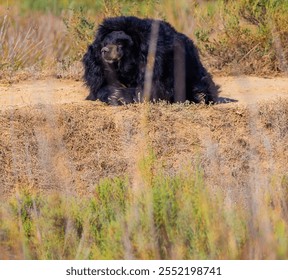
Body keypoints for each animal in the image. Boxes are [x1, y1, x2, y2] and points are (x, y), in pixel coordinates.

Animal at [82, 16, 217, 106]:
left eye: (119, 43)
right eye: (104, 43)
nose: (104, 51)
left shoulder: (155, 58)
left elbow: (151, 89)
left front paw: (118, 95)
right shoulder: (96, 65)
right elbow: (100, 85)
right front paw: (109, 93)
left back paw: (200, 96)